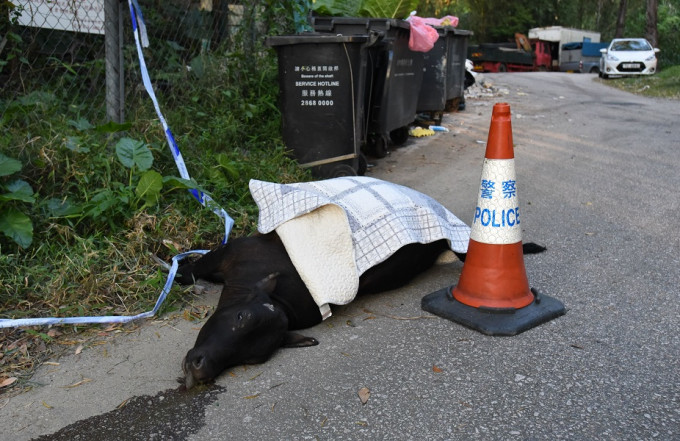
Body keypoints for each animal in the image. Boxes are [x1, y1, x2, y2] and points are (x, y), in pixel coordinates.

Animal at [177, 230, 548, 388]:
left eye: (253, 360)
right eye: (241, 318)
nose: (201, 368)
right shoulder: (223, 254)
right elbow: (191, 269)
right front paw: (175, 271)